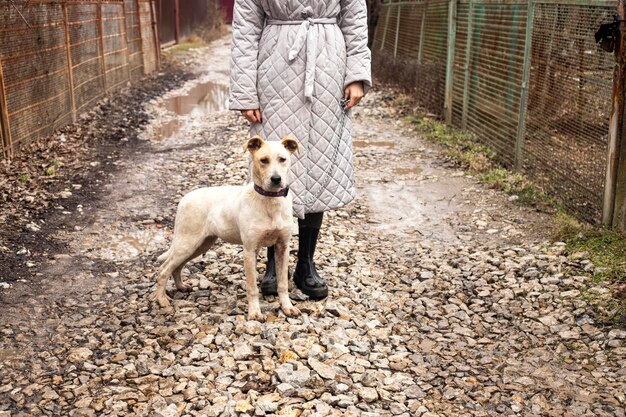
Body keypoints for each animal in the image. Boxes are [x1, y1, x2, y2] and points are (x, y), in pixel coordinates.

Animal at [154, 135, 302, 320]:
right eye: (263, 160)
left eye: (283, 159)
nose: (276, 179)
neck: (269, 200)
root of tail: (185, 198)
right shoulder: (249, 250)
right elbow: (252, 287)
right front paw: (255, 312)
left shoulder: (282, 247)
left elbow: (282, 284)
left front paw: (287, 307)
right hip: (186, 243)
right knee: (163, 270)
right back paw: (162, 301)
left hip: (200, 244)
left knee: (177, 267)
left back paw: (181, 287)